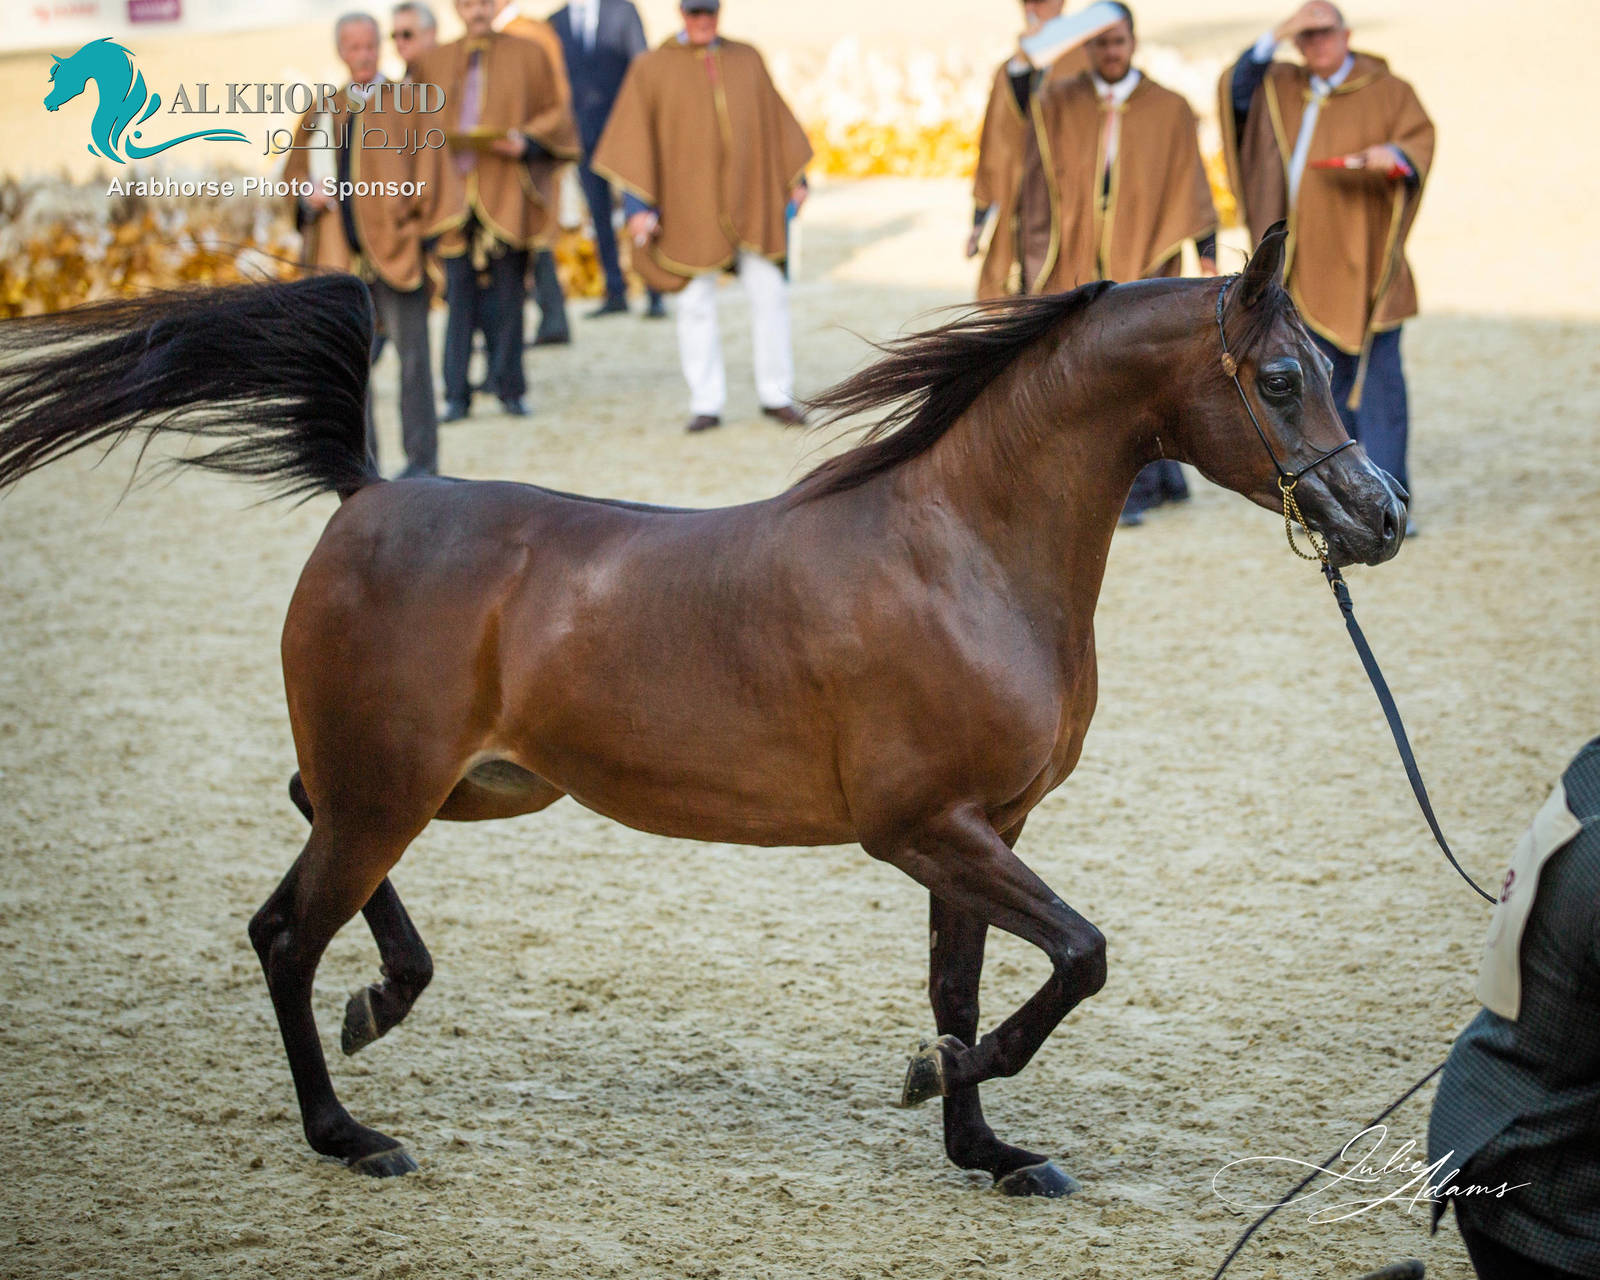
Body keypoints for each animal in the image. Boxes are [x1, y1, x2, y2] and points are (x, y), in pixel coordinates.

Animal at [0, 224, 1405, 1194]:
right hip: (393, 789)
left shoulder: (982, 827)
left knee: (305, 838)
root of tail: (368, 491)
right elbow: (1078, 955)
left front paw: (988, 1147)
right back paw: (350, 1129)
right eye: (1282, 377)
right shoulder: (922, 827)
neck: (960, 549)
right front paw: (939, 1081)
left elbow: (966, 983)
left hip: (452, 785)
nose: (1381, 516)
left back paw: (383, 998)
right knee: (285, 930)